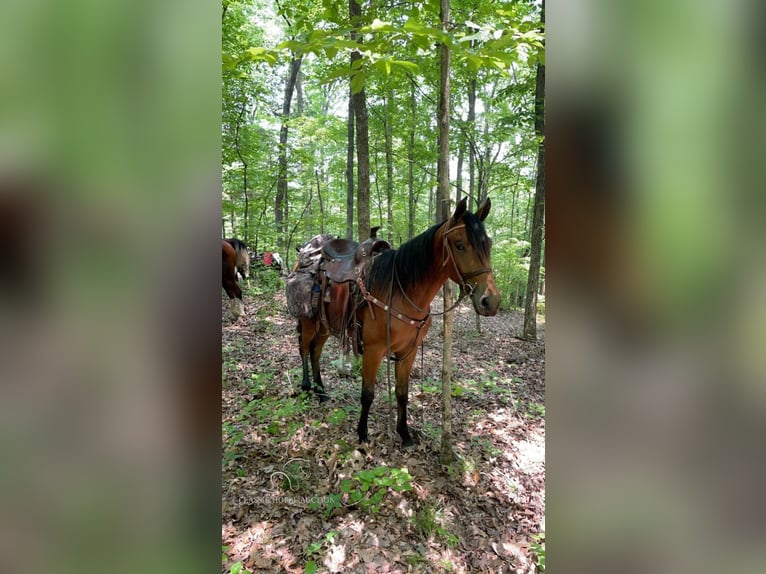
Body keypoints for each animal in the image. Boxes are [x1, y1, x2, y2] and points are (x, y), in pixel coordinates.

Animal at [296, 200, 504, 448]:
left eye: (488, 244)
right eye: (460, 245)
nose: (490, 301)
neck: (401, 292)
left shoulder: (408, 352)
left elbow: (402, 393)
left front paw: (404, 433)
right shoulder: (373, 350)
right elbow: (368, 394)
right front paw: (362, 433)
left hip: (326, 325)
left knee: (315, 351)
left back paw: (321, 392)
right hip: (308, 320)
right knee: (304, 349)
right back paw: (306, 387)